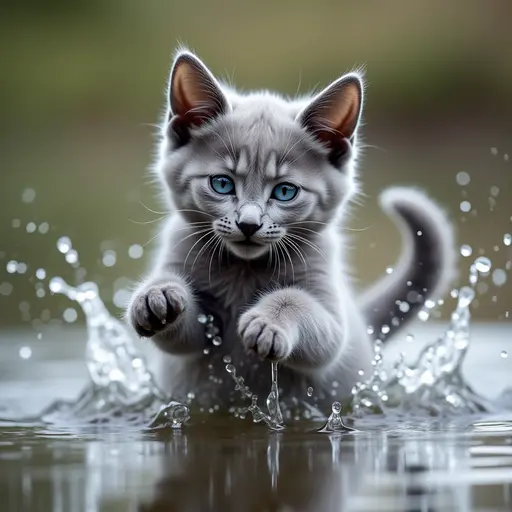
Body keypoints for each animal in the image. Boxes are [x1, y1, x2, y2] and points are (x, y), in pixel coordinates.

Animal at [127, 50, 456, 410]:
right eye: (222, 184)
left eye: (285, 191)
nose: (248, 224)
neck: (244, 271)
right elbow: (182, 337)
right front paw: (157, 295)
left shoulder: (331, 314)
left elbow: (303, 310)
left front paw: (267, 323)